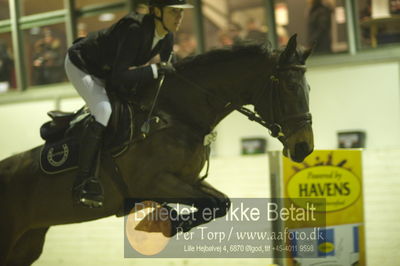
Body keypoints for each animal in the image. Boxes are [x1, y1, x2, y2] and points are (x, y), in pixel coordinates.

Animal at [0, 34, 312, 264]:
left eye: (307, 88)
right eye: (288, 86)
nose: (304, 147)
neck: (176, 115)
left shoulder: (189, 180)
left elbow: (220, 204)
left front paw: (166, 221)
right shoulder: (155, 182)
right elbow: (211, 204)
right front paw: (161, 222)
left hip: (26, 243)